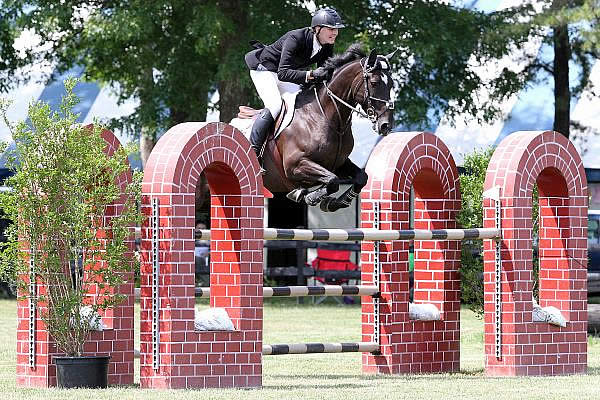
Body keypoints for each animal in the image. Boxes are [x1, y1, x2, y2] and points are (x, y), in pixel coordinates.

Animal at [233, 43, 394, 212]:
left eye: (391, 84)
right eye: (374, 83)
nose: (386, 125)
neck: (325, 117)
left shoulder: (340, 163)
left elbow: (361, 178)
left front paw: (334, 203)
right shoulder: (295, 166)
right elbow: (332, 181)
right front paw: (309, 196)